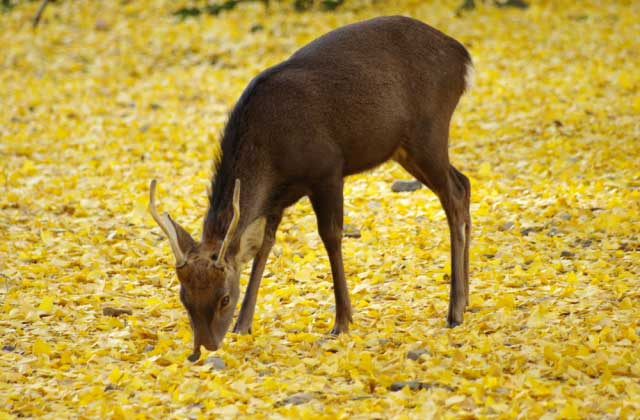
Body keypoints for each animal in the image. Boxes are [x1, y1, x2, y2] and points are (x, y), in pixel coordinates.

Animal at [149, 14, 470, 360]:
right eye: (184, 297)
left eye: (224, 297)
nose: (203, 347)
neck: (272, 157)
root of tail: (463, 57)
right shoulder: (277, 200)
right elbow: (264, 245)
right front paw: (243, 325)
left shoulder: (327, 170)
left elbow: (330, 236)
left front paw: (341, 322)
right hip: (404, 148)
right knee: (463, 183)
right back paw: (467, 299)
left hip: (429, 130)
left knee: (452, 195)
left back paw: (455, 310)